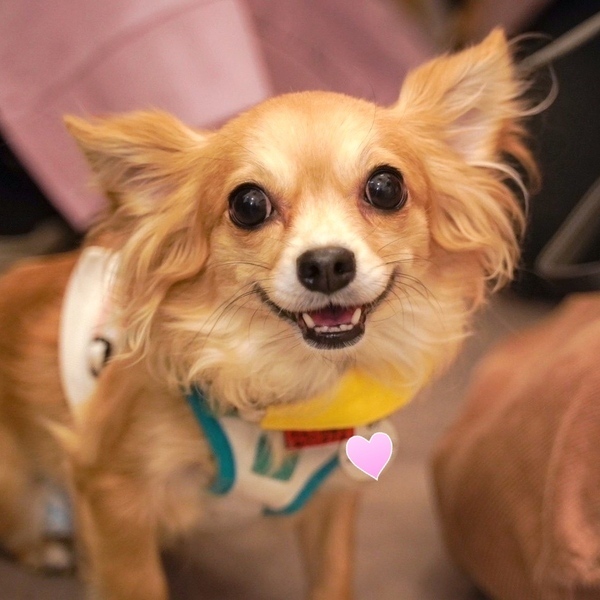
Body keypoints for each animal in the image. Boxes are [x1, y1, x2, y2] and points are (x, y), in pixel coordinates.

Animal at [0, 30, 536, 600]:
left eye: (386, 188)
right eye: (249, 205)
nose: (326, 264)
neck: (289, 386)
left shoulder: (333, 495)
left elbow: (333, 577)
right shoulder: (111, 492)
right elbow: (137, 581)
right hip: (20, 491)